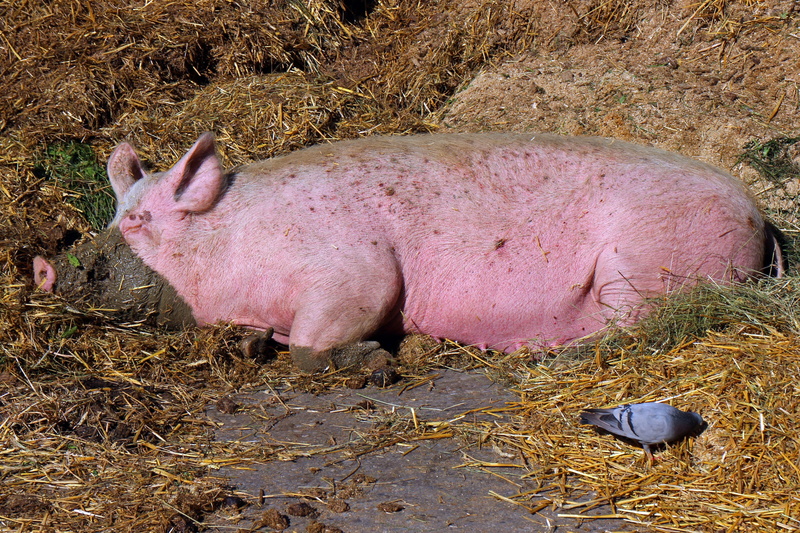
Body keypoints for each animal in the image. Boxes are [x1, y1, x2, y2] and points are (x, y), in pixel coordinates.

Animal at [34, 133, 785, 371]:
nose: (46, 264)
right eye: (117, 213)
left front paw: (376, 362)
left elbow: (318, 340)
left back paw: (546, 353)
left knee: (637, 329)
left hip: (640, 262)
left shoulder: (354, 270)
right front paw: (249, 344)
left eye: (142, 222)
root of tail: (762, 217)